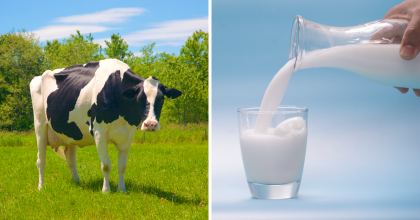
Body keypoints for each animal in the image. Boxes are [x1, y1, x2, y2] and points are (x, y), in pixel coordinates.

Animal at [28, 58, 182, 192]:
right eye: (139, 99)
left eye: (161, 99)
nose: (150, 124)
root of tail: (38, 76)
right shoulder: (99, 132)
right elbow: (106, 165)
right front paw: (106, 190)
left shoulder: (128, 134)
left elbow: (122, 166)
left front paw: (122, 190)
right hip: (40, 125)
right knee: (41, 160)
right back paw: (41, 187)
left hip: (72, 132)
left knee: (70, 159)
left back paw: (78, 183)